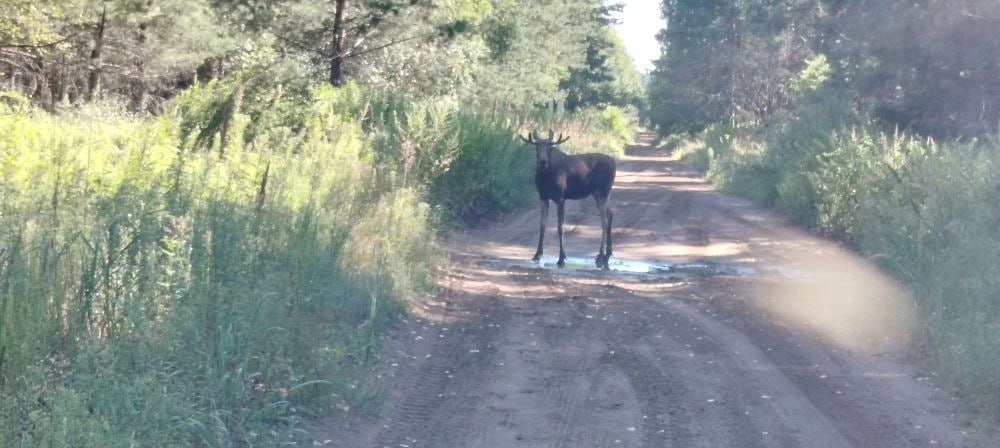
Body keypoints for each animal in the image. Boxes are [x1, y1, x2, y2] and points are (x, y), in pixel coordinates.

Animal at [519, 130, 616, 269]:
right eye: (537, 147)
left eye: (549, 148)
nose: (543, 162)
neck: (545, 178)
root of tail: (614, 163)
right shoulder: (543, 197)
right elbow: (542, 225)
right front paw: (537, 254)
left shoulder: (560, 198)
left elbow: (560, 227)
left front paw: (561, 258)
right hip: (598, 194)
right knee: (610, 214)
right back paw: (607, 254)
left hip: (603, 191)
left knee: (604, 221)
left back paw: (600, 257)